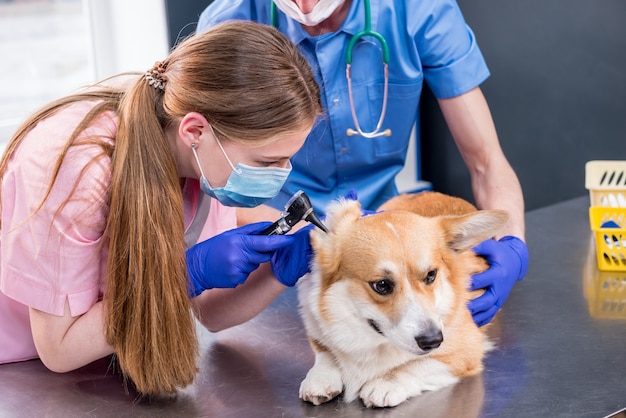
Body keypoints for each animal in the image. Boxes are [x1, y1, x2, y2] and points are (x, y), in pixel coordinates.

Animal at [298, 193, 508, 408]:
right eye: (382, 285)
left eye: (431, 275)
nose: (433, 340)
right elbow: (325, 352)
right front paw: (320, 377)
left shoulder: (467, 350)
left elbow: (417, 364)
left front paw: (386, 383)